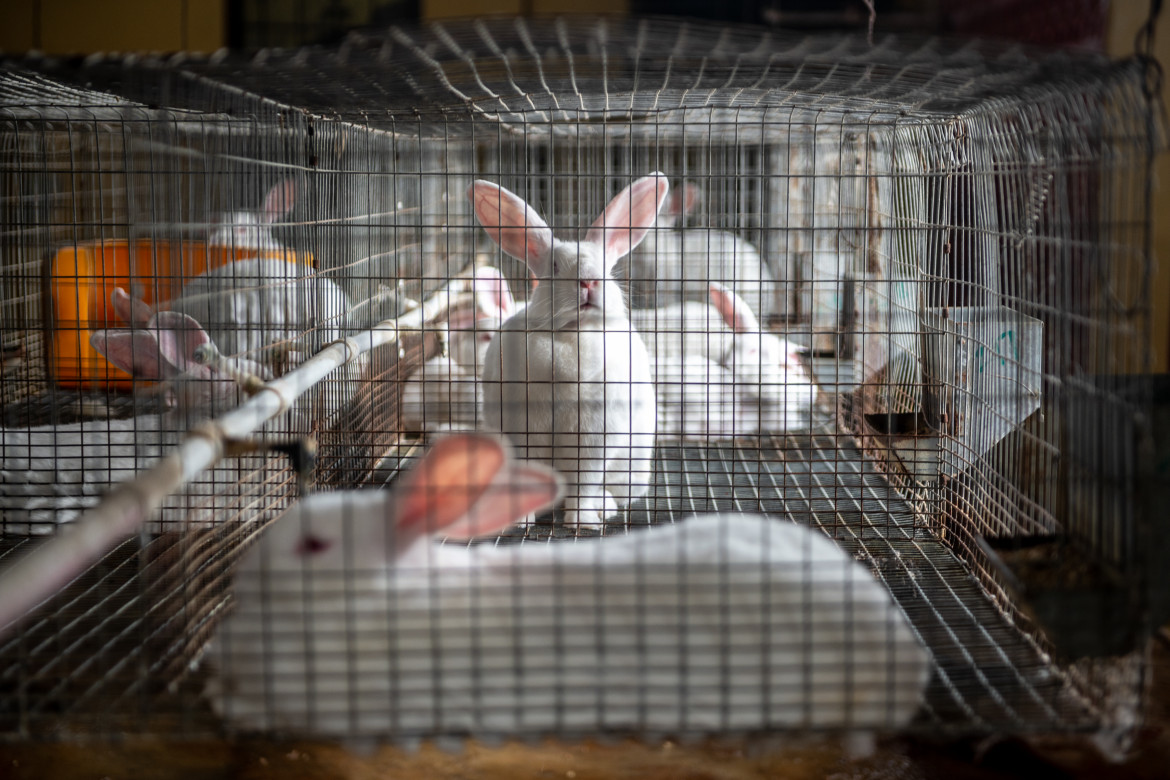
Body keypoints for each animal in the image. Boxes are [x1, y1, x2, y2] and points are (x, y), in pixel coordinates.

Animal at [465, 176, 669, 530]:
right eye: (555, 266)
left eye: (605, 267)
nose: (588, 281)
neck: (573, 333)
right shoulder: (524, 431)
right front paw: (522, 521)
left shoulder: (594, 437)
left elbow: (584, 483)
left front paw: (582, 522)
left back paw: (604, 508)